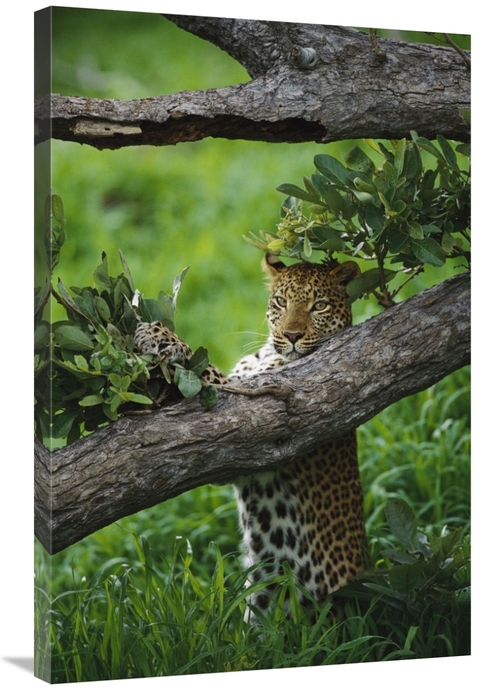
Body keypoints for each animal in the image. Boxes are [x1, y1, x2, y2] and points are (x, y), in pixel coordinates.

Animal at [135, 251, 370, 612]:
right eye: (281, 301)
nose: (291, 335)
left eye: (319, 306)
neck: (266, 354)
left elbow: (205, 370)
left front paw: (159, 336)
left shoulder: (248, 409)